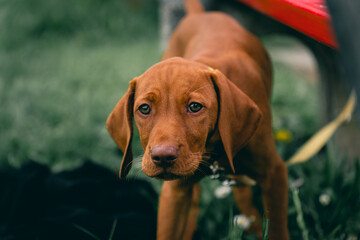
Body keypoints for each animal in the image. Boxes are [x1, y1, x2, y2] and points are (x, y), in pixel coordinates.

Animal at [106, 0, 286, 240]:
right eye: (144, 108)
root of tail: (200, 15)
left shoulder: (274, 175)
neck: (213, 149)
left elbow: (277, 228)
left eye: (194, 107)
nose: (162, 157)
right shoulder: (173, 193)